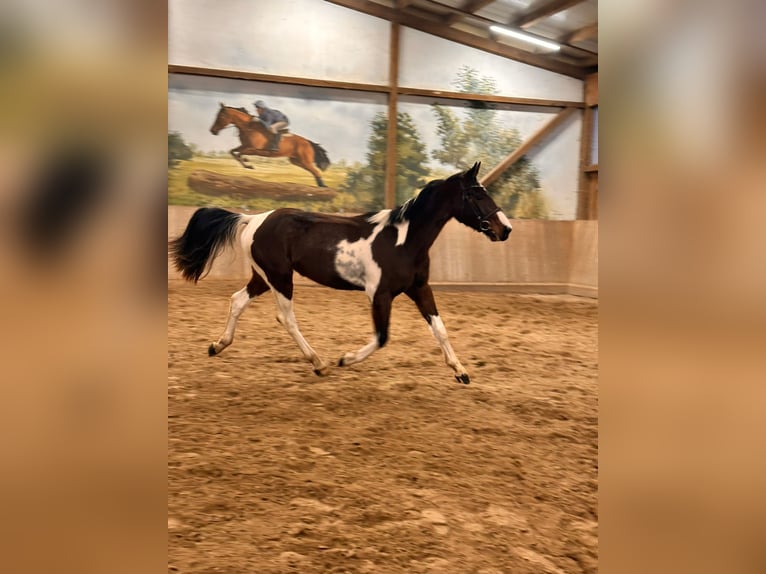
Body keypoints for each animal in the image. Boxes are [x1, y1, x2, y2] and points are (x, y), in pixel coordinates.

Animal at [169, 162, 512, 384]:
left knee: (238, 300)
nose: (505, 229)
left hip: (263, 277)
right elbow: (382, 337)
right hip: (279, 277)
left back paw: (217, 346)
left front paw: (460, 371)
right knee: (286, 317)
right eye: (477, 195)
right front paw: (345, 359)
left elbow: (439, 329)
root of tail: (252, 218)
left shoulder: (419, 288)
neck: (403, 240)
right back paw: (320, 364)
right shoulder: (380, 294)